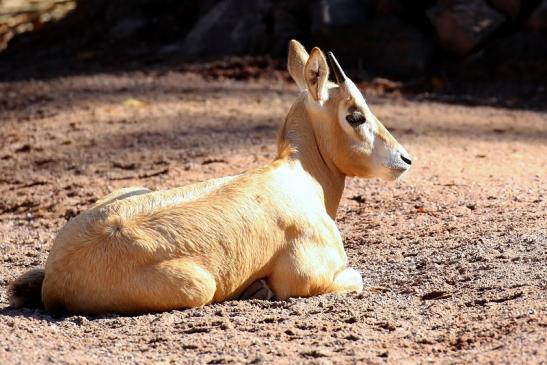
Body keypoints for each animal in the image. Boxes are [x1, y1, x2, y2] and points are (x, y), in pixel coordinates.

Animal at [7, 39, 412, 312]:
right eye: (354, 115)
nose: (404, 159)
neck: (300, 177)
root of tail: (56, 276)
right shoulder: (307, 278)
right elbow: (355, 278)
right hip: (198, 285)